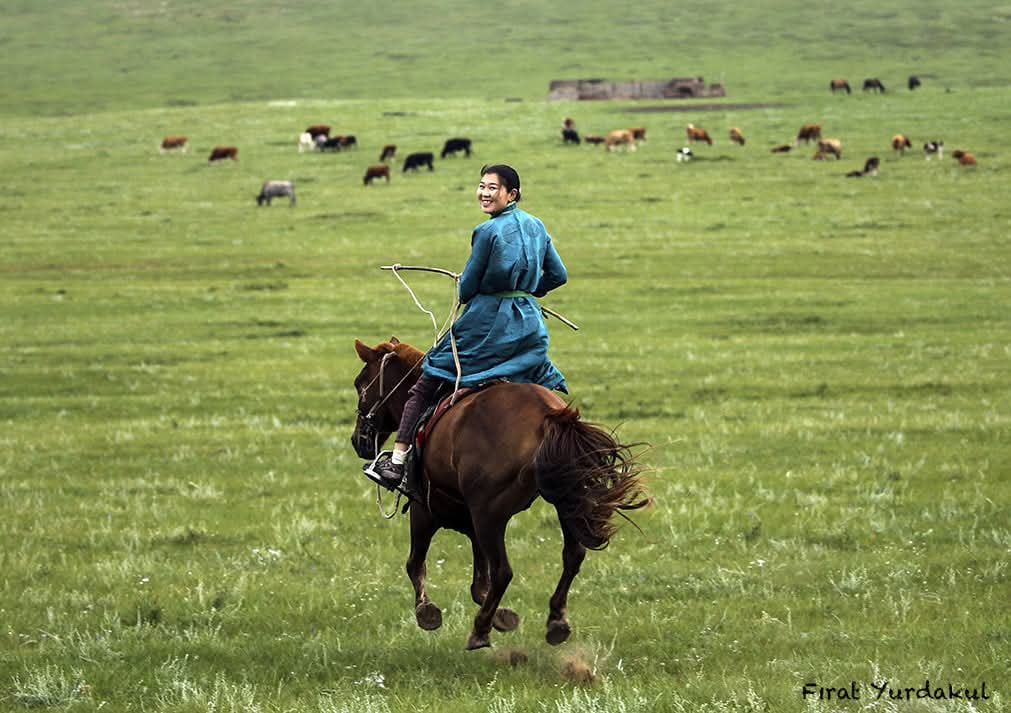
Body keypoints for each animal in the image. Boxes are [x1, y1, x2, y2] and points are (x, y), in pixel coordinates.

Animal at [351, 337, 648, 650]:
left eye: (360, 384)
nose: (357, 440)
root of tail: (548, 416)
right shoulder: (470, 523)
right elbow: (479, 585)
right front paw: (502, 616)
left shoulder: (426, 509)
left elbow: (416, 564)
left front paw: (427, 611)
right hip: (566, 498)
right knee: (572, 555)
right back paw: (556, 620)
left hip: (489, 515)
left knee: (504, 571)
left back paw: (480, 630)